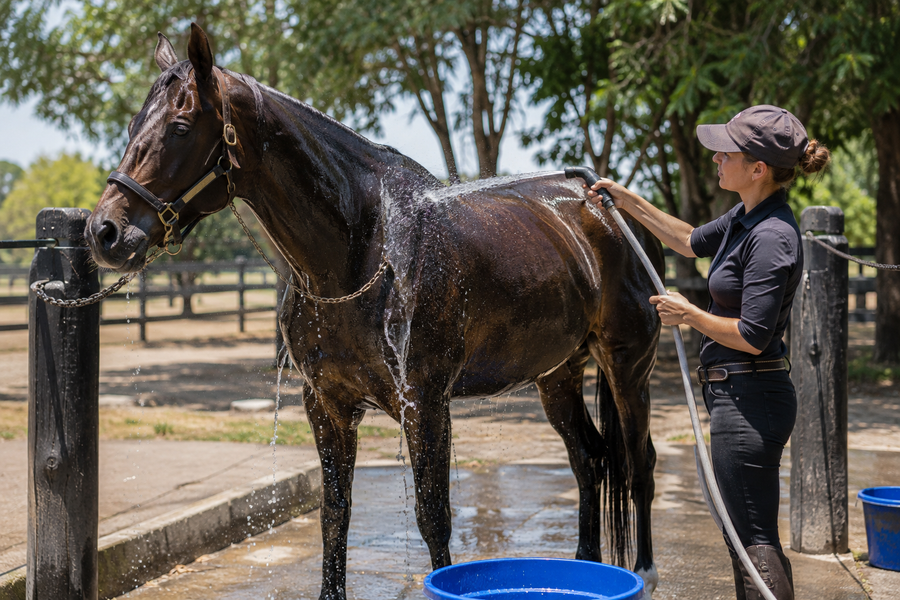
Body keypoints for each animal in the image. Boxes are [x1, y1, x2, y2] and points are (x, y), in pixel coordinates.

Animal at [84, 23, 664, 600]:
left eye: (181, 127)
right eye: (134, 125)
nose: (104, 232)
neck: (361, 251)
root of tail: (608, 205)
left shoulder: (424, 403)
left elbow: (434, 517)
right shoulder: (327, 404)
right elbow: (334, 514)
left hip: (627, 367)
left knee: (639, 463)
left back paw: (647, 570)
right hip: (557, 374)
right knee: (589, 460)